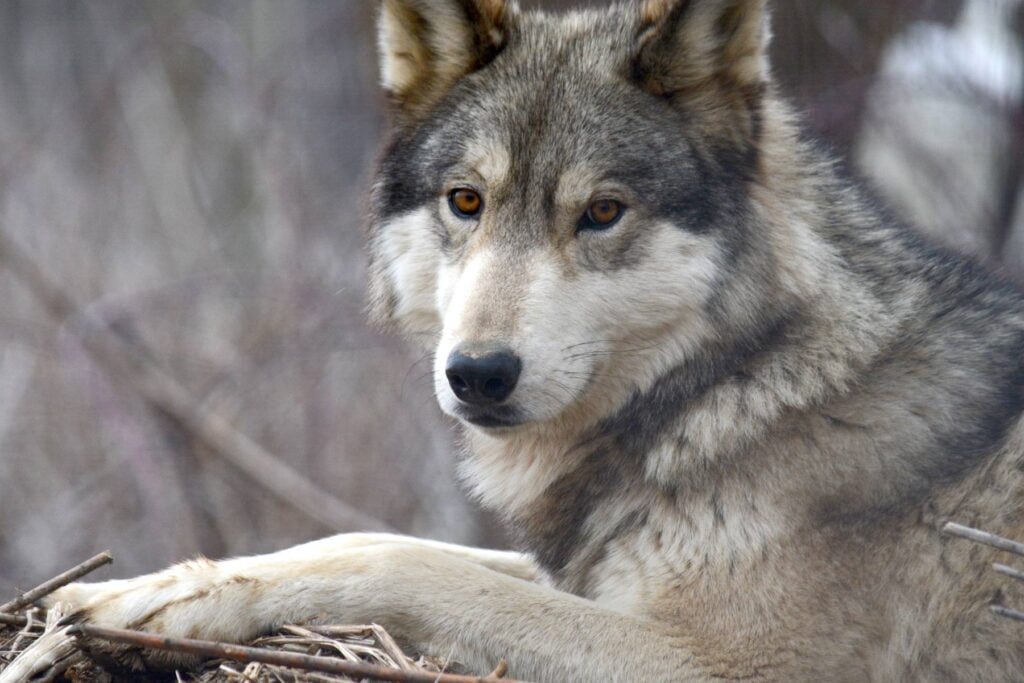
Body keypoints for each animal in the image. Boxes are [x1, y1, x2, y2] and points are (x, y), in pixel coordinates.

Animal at [6, 1, 1024, 683]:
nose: (477, 374)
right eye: (468, 200)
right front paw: (141, 589)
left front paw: (173, 601)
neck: (737, 384)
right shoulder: (588, 578)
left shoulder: (716, 662)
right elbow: (371, 535)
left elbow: (405, 560)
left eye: (602, 212)